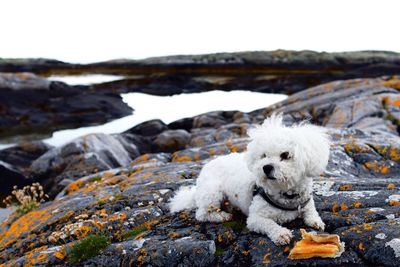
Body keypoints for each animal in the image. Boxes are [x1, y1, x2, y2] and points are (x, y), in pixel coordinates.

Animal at [167, 115, 330, 247]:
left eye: (285, 155)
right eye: (264, 155)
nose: (266, 167)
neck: (287, 194)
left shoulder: (307, 203)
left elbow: (311, 213)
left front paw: (316, 221)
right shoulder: (255, 218)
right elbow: (269, 224)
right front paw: (280, 233)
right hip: (212, 192)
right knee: (202, 214)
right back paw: (222, 215)